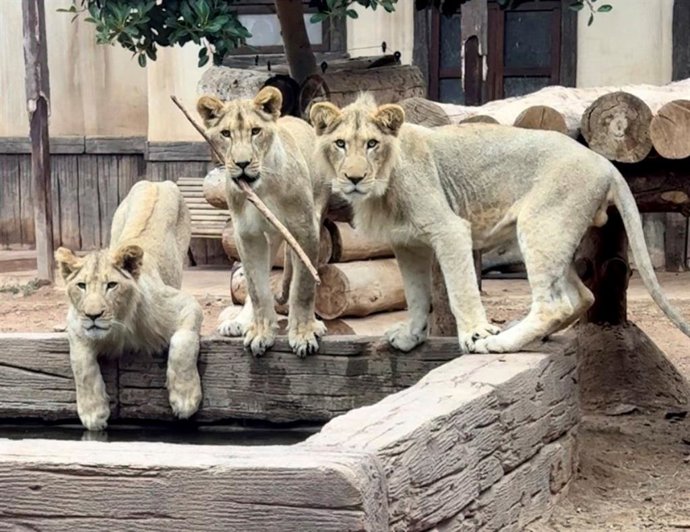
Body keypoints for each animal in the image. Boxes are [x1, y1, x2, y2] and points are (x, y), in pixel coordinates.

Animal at [55, 180, 203, 431]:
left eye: (111, 285)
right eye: (81, 285)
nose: (93, 315)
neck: (120, 324)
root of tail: (155, 181)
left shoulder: (185, 303)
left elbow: (183, 342)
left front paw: (185, 398)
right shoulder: (76, 323)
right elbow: (80, 363)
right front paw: (93, 413)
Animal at [197, 87, 330, 357]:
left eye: (255, 131)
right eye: (225, 134)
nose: (242, 164)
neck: (263, 188)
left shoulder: (305, 229)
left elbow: (303, 286)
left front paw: (304, 334)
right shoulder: (247, 235)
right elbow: (256, 287)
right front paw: (260, 333)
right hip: (272, 236)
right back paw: (239, 323)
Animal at [310, 94, 690, 354]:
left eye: (372, 144)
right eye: (340, 144)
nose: (354, 178)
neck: (382, 188)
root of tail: (605, 163)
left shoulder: (449, 229)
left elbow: (461, 289)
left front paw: (476, 333)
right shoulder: (407, 244)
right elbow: (416, 294)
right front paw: (410, 337)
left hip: (540, 224)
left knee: (555, 303)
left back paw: (500, 342)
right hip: (552, 234)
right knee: (580, 295)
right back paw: (524, 334)